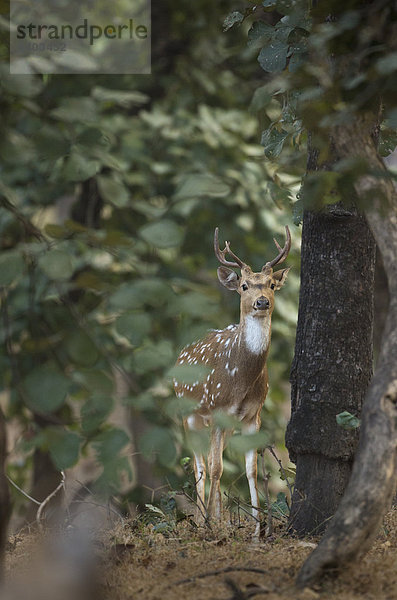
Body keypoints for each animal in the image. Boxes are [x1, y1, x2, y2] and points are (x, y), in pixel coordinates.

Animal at [173, 225, 290, 536]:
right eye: (245, 286)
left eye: (270, 285)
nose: (262, 302)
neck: (239, 382)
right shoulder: (216, 409)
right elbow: (216, 468)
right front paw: (213, 525)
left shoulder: (252, 415)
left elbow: (250, 469)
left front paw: (257, 529)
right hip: (187, 414)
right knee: (201, 465)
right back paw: (202, 519)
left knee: (213, 461)